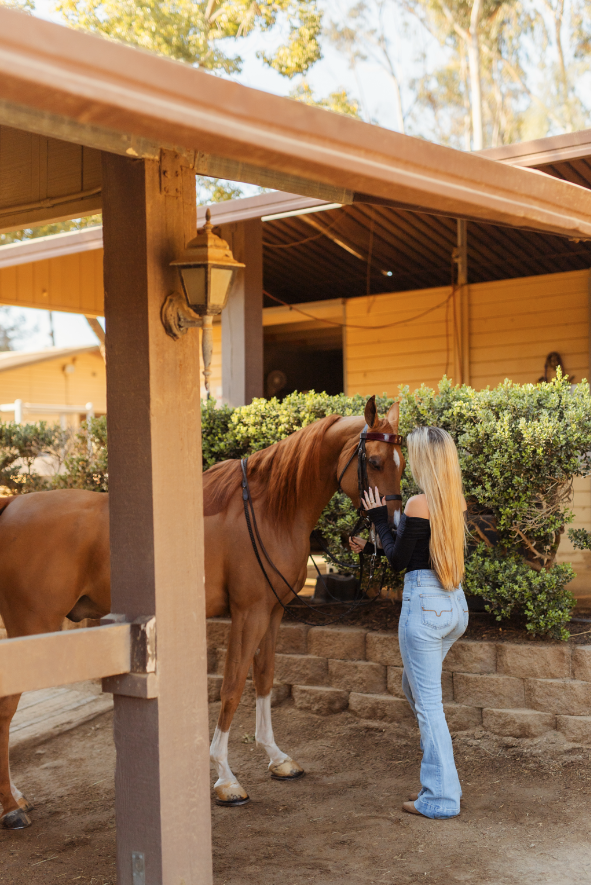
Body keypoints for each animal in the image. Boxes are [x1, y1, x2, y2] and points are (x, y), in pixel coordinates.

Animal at [0, 395, 404, 826]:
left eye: (402, 462)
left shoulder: (273, 612)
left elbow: (265, 679)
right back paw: (11, 807)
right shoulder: (248, 613)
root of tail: (12, 505)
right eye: (375, 461)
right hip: (30, 632)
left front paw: (277, 757)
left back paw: (16, 796)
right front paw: (226, 778)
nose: (394, 527)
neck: (267, 511)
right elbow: (232, 687)